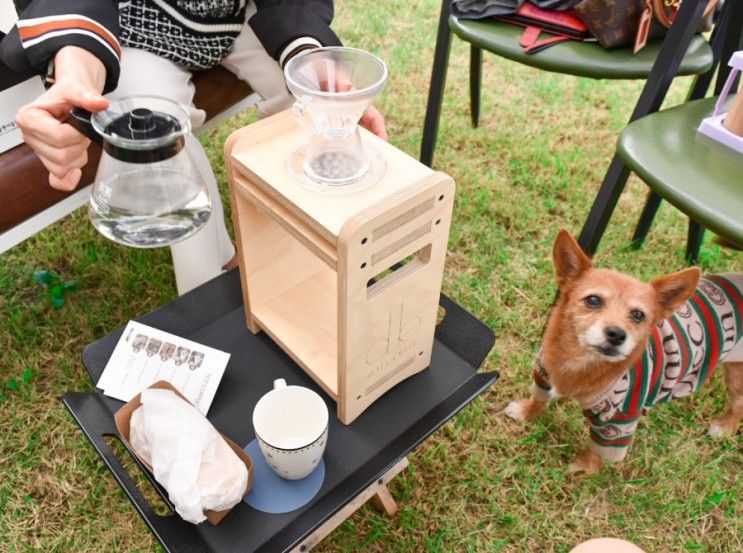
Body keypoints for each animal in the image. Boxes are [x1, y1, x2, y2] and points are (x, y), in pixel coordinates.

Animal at [506, 231, 743, 472]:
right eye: (593, 300)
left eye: (638, 315)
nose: (617, 334)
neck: (580, 362)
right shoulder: (543, 374)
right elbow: (539, 398)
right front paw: (525, 413)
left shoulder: (619, 422)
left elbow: (597, 450)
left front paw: (583, 468)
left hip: (737, 376)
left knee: (738, 403)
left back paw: (724, 427)